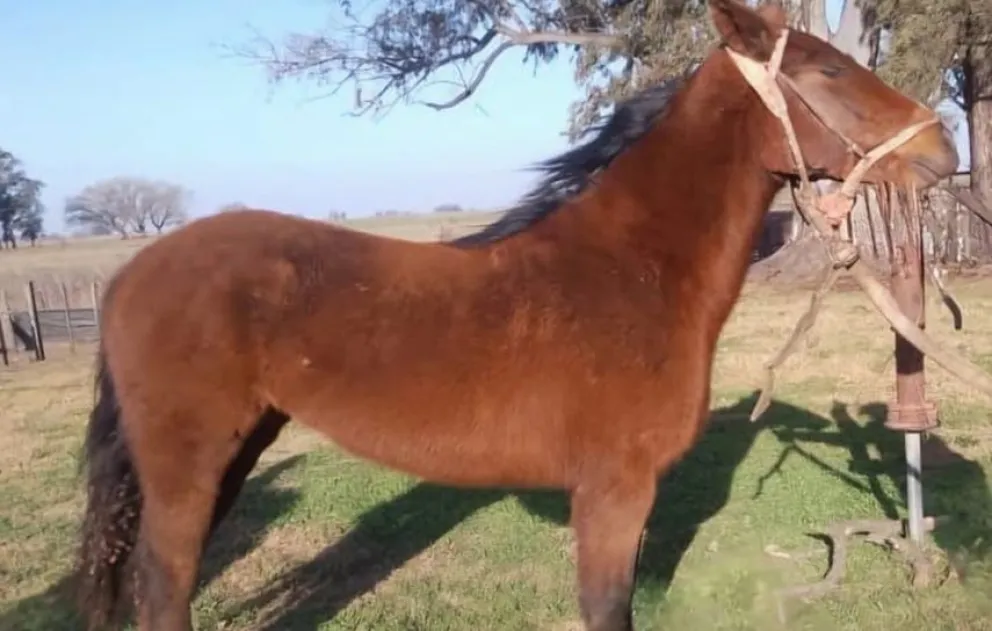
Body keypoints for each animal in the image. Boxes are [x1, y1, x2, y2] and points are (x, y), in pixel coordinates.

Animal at [74, 1, 959, 629]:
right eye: (827, 70)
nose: (943, 149)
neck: (630, 270)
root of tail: (128, 274)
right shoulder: (612, 491)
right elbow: (607, 609)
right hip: (188, 463)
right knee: (163, 587)